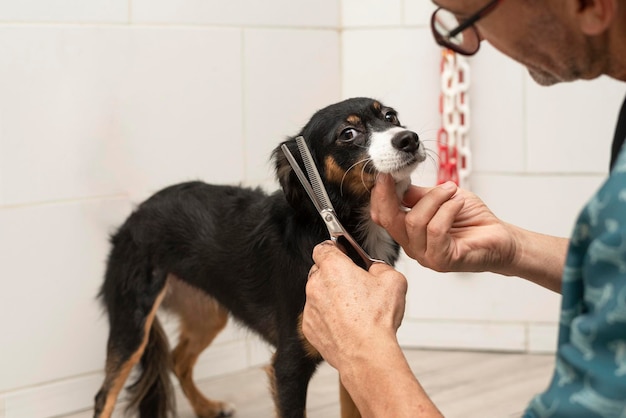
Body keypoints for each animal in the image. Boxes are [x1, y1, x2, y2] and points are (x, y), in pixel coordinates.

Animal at [94, 96, 424, 416]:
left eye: (391, 116)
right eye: (348, 134)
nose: (409, 138)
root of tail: (137, 213)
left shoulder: (358, 352)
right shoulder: (289, 366)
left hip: (207, 314)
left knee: (178, 359)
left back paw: (207, 407)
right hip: (133, 321)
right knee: (104, 396)